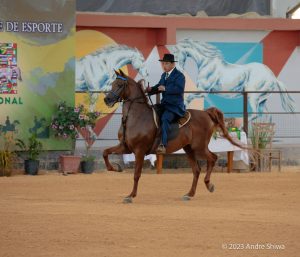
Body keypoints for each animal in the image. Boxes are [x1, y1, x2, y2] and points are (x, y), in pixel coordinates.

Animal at [103, 69, 244, 202]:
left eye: (120, 85)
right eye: (112, 84)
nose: (107, 99)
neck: (136, 117)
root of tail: (206, 113)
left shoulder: (139, 151)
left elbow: (136, 174)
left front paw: (131, 196)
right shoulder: (125, 147)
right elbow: (105, 152)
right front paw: (116, 168)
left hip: (199, 147)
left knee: (213, 158)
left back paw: (209, 185)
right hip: (189, 149)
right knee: (196, 170)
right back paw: (189, 194)